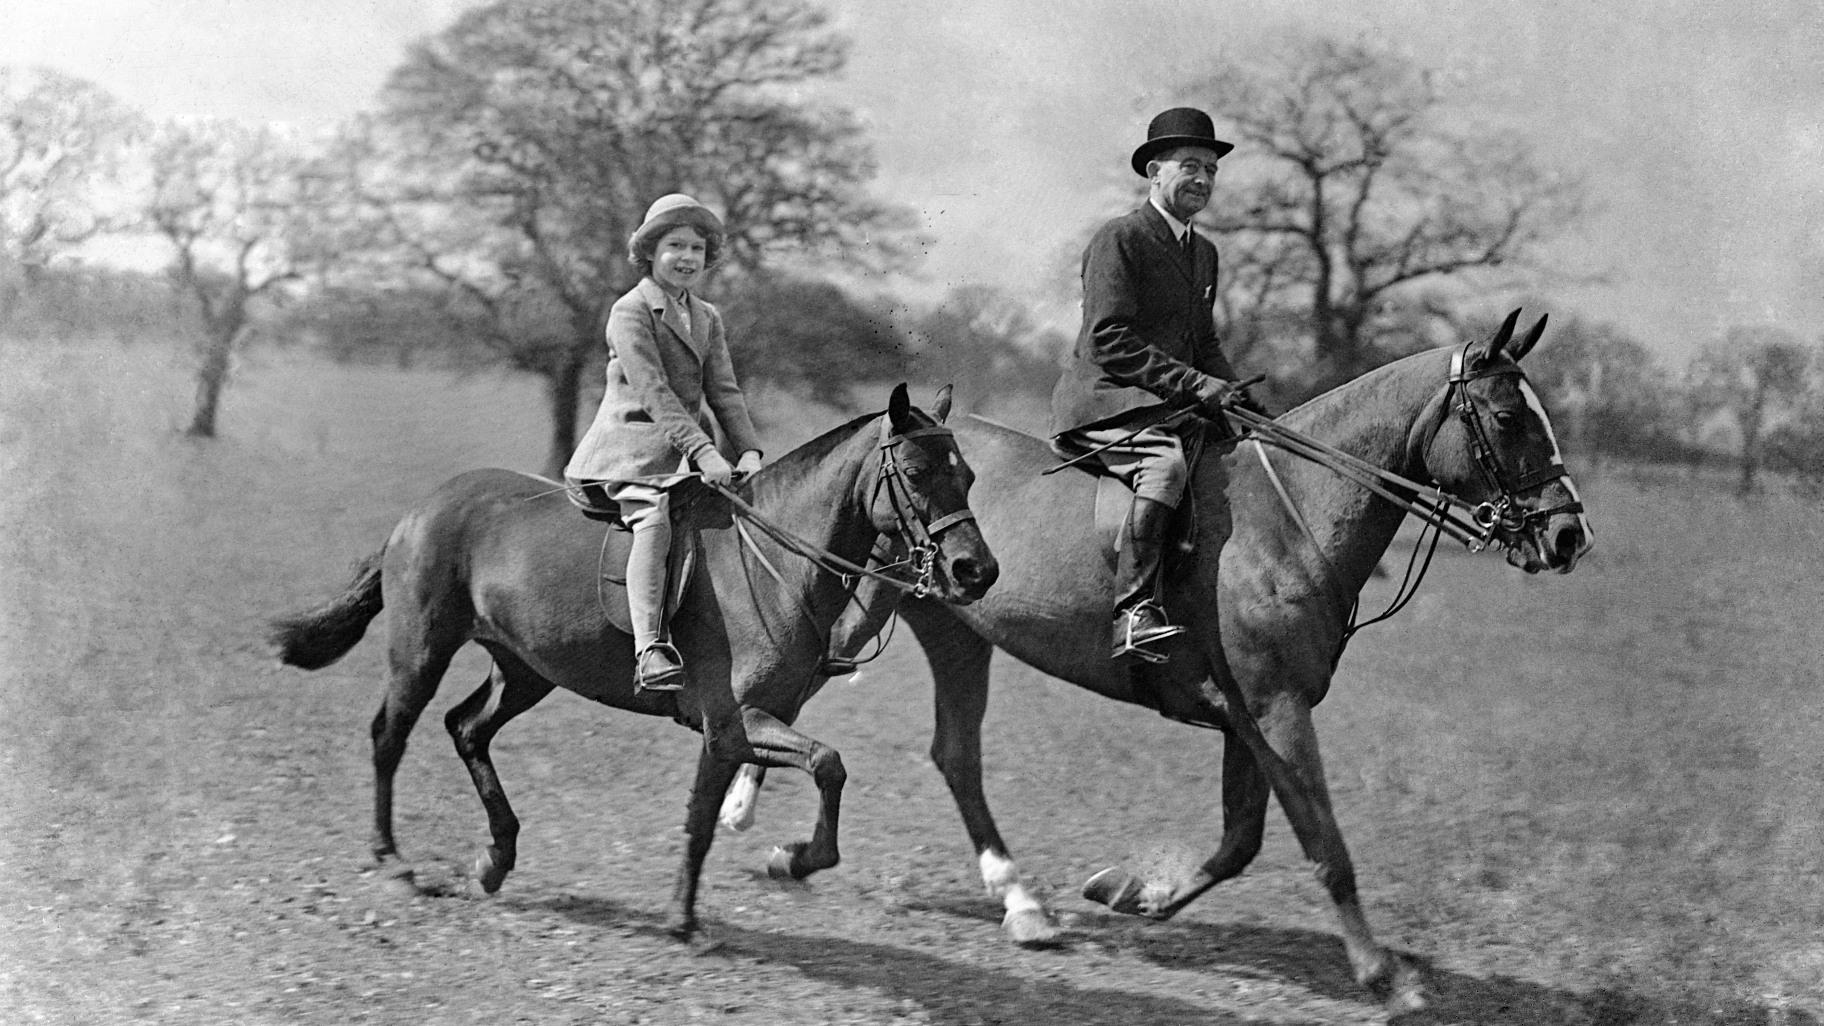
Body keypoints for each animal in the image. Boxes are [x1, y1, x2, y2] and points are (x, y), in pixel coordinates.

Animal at [266, 381, 999, 934]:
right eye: (915, 473)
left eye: (967, 475)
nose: (976, 572)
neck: (777, 562)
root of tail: (421, 510)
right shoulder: (734, 722)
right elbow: (824, 765)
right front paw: (786, 863)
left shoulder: (735, 731)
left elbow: (715, 813)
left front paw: (698, 908)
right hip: (422, 651)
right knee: (390, 736)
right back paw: (392, 860)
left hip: (525, 669)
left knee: (466, 729)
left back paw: (495, 859)